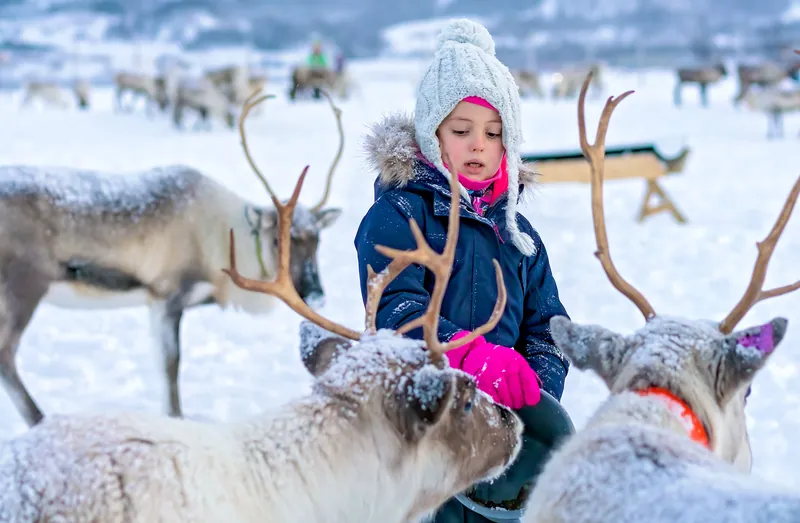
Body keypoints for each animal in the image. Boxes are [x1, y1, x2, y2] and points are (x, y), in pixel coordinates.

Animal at [0, 89, 345, 428]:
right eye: (278, 239)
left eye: (317, 239)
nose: (316, 293)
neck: (224, 244)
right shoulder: (168, 295)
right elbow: (171, 366)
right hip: (24, 287)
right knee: (6, 355)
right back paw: (39, 420)